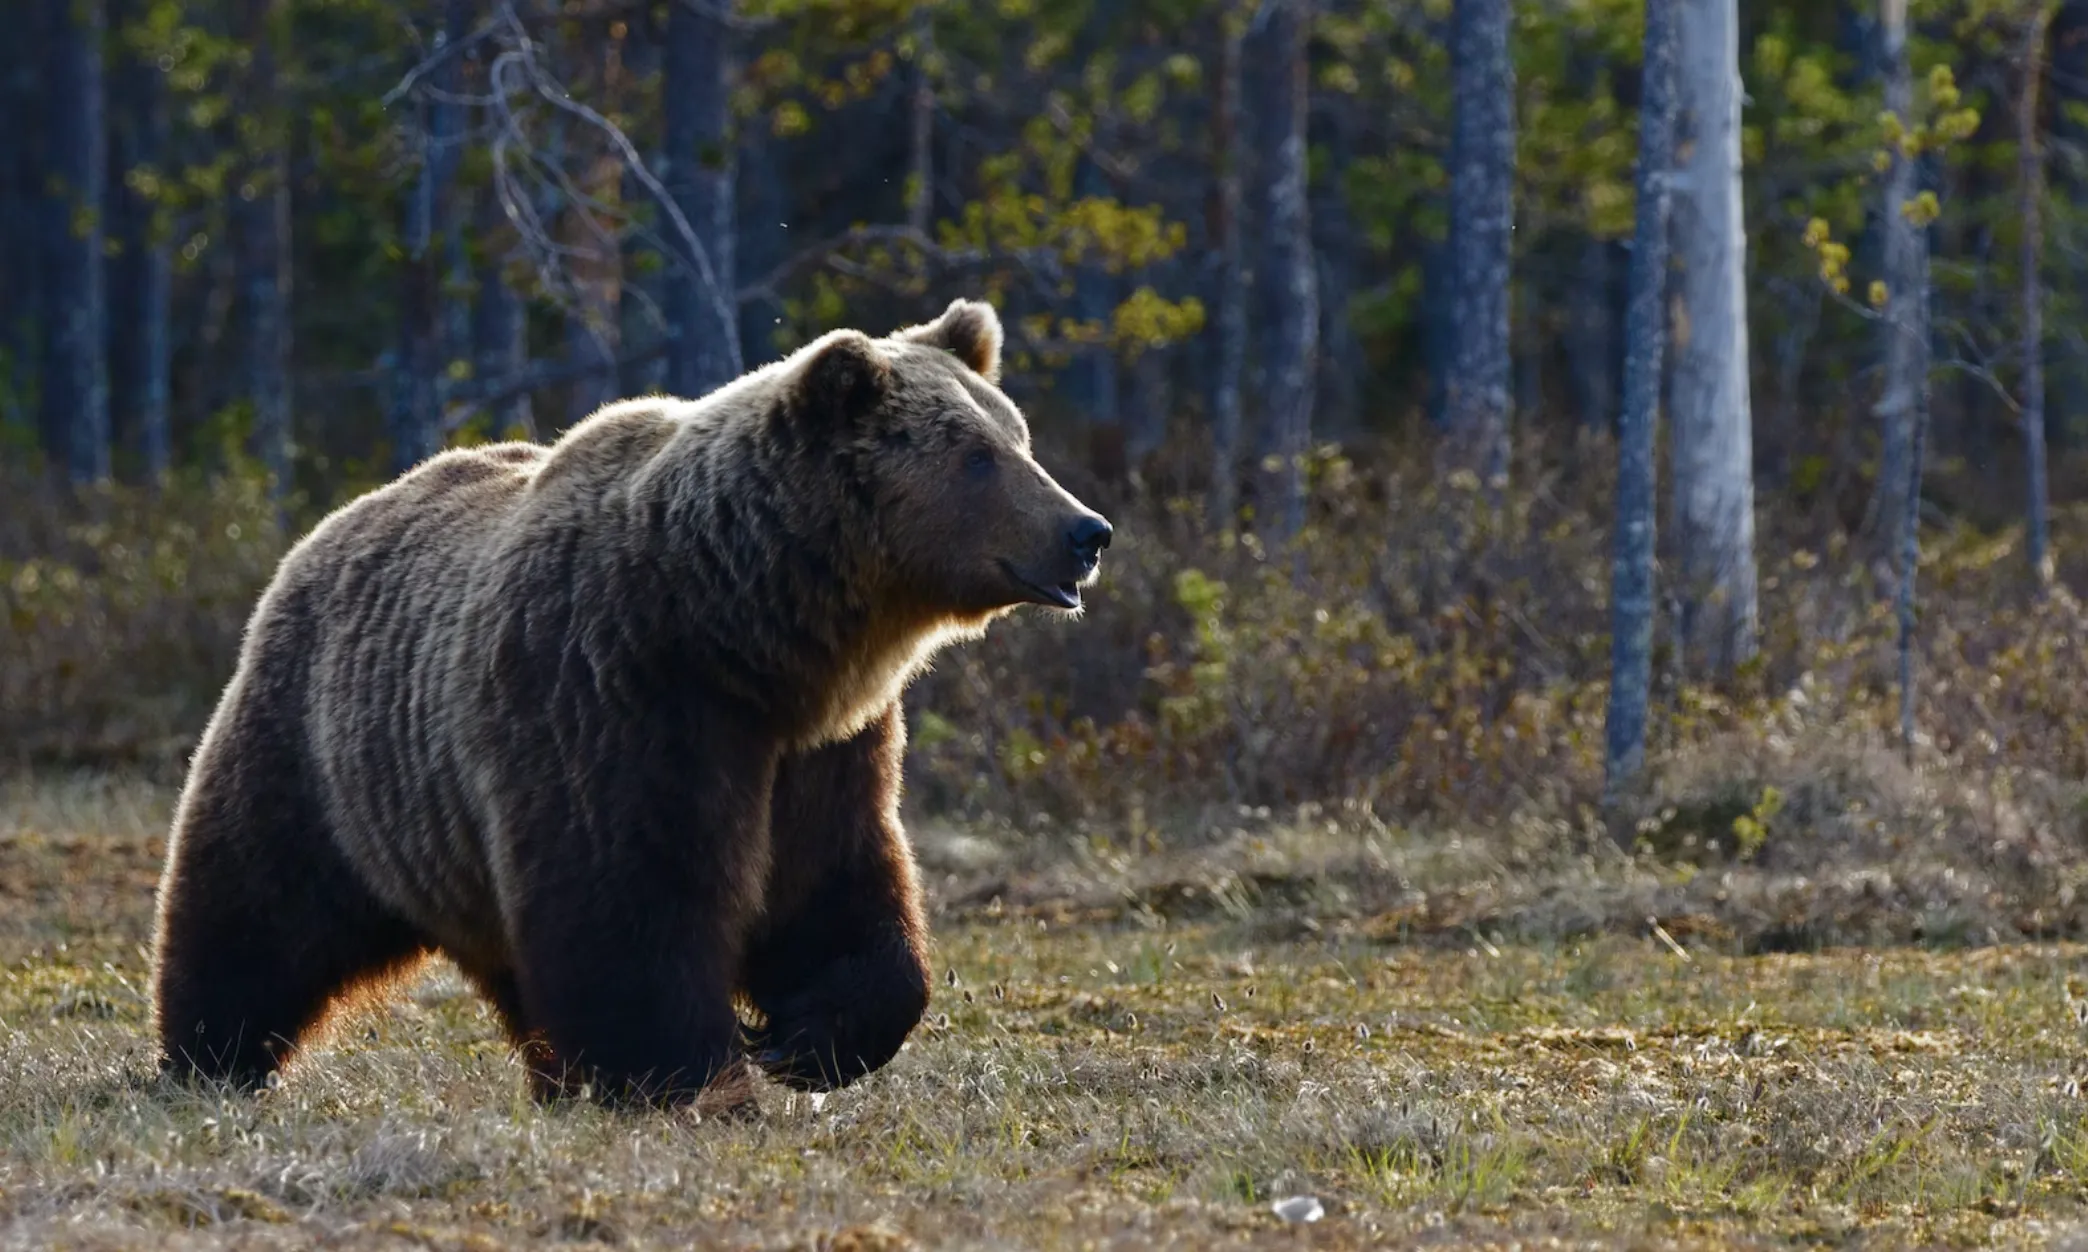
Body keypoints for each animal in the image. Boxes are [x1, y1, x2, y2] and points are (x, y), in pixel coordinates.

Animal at [151, 300, 1110, 1101]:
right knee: (255, 907)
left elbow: (838, 886)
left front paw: (807, 1038)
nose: (1087, 530)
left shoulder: (823, 747)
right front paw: (691, 1074)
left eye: (1019, 438)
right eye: (977, 456)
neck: (744, 633)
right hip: (325, 755)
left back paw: (553, 1078)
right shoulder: (614, 696)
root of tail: (331, 525)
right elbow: (630, 902)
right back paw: (208, 1059)